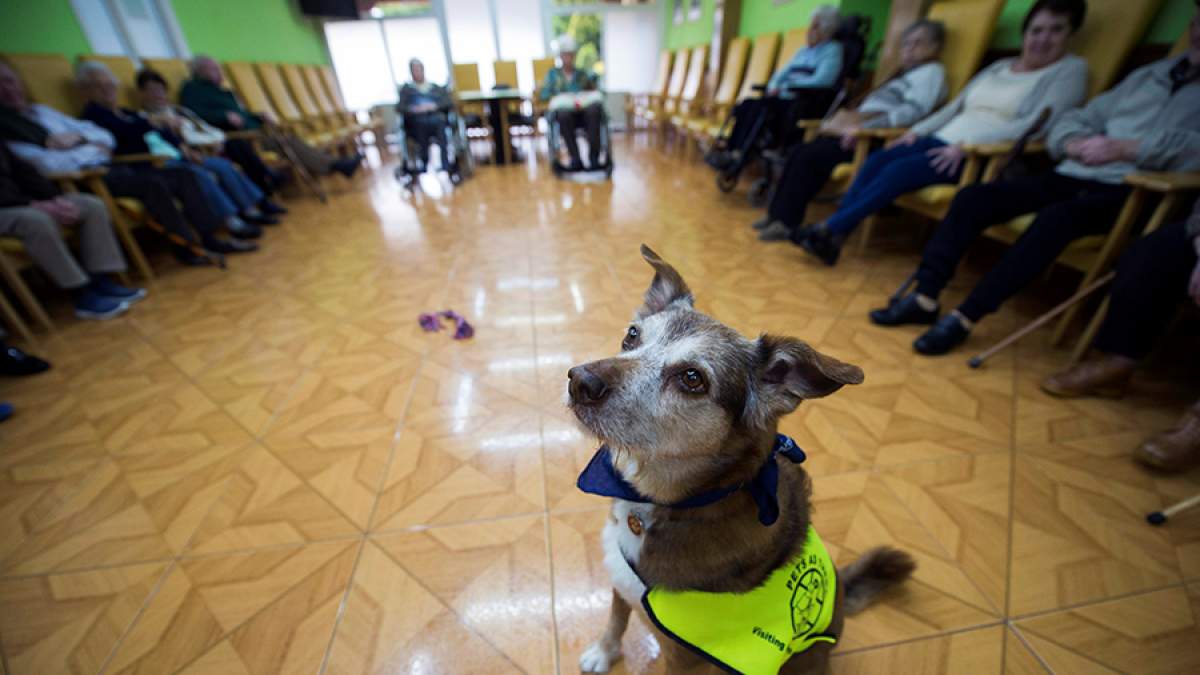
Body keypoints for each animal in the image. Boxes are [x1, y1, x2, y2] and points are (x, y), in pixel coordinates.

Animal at [566, 247, 912, 672]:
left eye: (692, 378)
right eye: (632, 335)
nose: (579, 381)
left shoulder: (681, 656)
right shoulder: (620, 582)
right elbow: (616, 617)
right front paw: (604, 651)